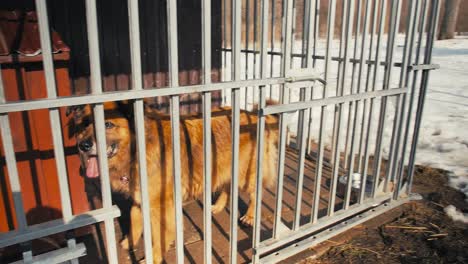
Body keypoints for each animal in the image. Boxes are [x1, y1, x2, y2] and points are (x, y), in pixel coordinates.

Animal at [69, 100, 280, 262]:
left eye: (108, 125)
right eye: (84, 124)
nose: (83, 146)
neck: (140, 147)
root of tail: (253, 114)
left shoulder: (160, 204)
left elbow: (160, 235)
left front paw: (153, 257)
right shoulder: (141, 197)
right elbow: (135, 220)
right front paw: (129, 242)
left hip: (246, 174)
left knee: (255, 192)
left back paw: (250, 216)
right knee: (228, 187)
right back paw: (218, 207)